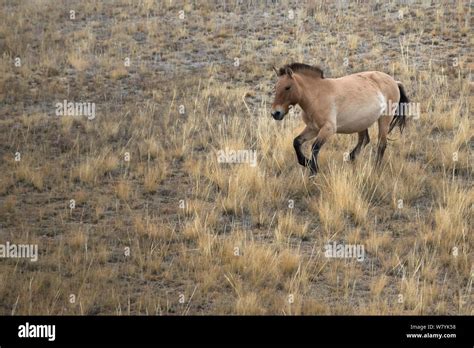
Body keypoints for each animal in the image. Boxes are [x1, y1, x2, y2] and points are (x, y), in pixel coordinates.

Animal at [270, 62, 408, 175]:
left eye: (287, 87)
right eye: (276, 87)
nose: (275, 113)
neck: (317, 95)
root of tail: (394, 82)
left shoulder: (328, 129)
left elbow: (315, 147)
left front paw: (313, 171)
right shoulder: (312, 128)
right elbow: (296, 142)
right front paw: (306, 163)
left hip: (384, 119)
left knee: (381, 144)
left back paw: (375, 169)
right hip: (361, 123)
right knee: (364, 140)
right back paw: (351, 158)